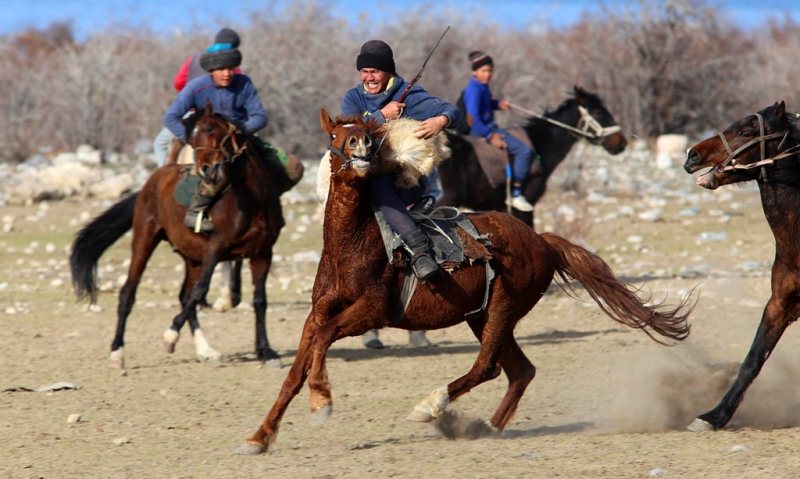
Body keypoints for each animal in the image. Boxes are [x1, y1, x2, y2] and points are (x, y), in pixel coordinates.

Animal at [69, 103, 284, 370]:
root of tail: (154, 178)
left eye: (211, 129)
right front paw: (169, 336)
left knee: (184, 297)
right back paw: (117, 352)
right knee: (128, 294)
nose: (206, 171)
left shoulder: (263, 253)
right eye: (191, 138)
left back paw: (205, 350)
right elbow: (201, 290)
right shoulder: (215, 249)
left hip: (193, 258)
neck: (252, 201)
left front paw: (265, 350)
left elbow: (259, 300)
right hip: (145, 240)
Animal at [234, 109, 692, 458]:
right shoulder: (318, 312)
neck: (353, 243)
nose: (361, 146)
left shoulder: (369, 312)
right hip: (482, 316)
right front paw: (259, 437)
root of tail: (541, 240)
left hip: (503, 309)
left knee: (487, 366)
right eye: (336, 134)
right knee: (520, 371)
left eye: (368, 135)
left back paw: (430, 406)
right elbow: (297, 367)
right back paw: (486, 427)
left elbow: (325, 341)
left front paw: (321, 400)